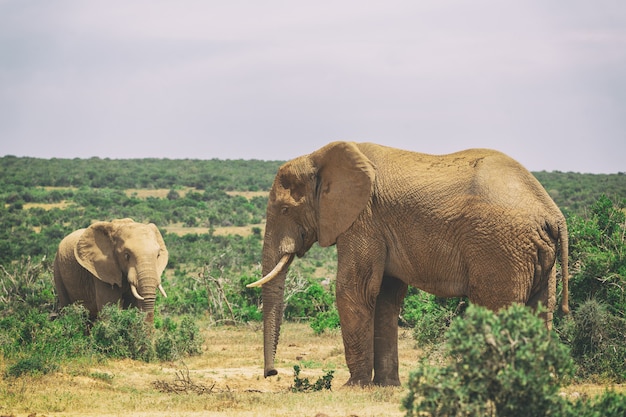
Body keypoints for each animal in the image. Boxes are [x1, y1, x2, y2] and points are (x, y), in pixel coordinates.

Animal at [246, 141, 568, 386]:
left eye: (285, 210)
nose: (271, 373)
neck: (318, 158)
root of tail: (552, 213)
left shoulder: (363, 220)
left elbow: (353, 290)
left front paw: (354, 386)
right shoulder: (380, 226)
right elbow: (386, 298)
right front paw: (385, 386)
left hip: (500, 247)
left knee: (496, 309)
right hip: (535, 254)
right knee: (541, 310)